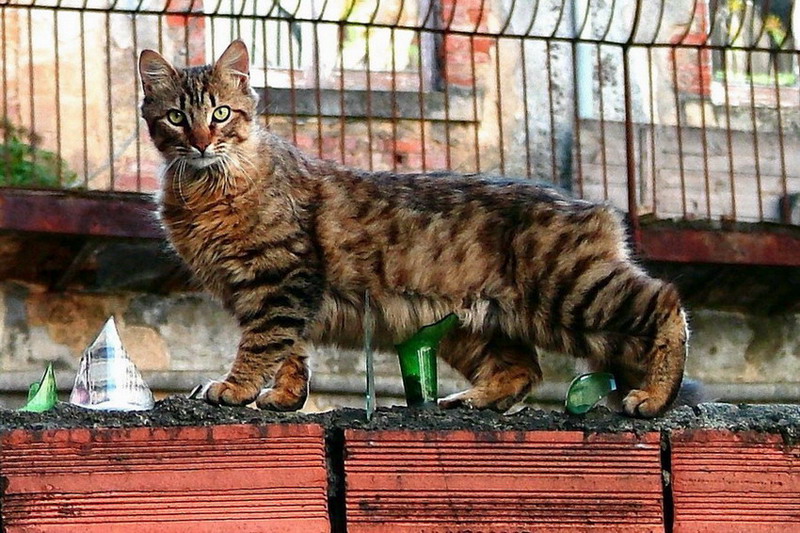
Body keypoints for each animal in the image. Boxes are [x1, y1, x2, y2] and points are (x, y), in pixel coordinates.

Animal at [138, 40, 688, 416]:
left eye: (221, 114)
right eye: (176, 118)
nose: (202, 142)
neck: (205, 188)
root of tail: (596, 208)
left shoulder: (279, 281)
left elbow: (263, 345)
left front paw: (236, 388)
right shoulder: (272, 291)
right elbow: (292, 353)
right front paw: (284, 397)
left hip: (573, 293)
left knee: (667, 304)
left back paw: (654, 397)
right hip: (479, 326)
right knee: (522, 370)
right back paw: (471, 399)